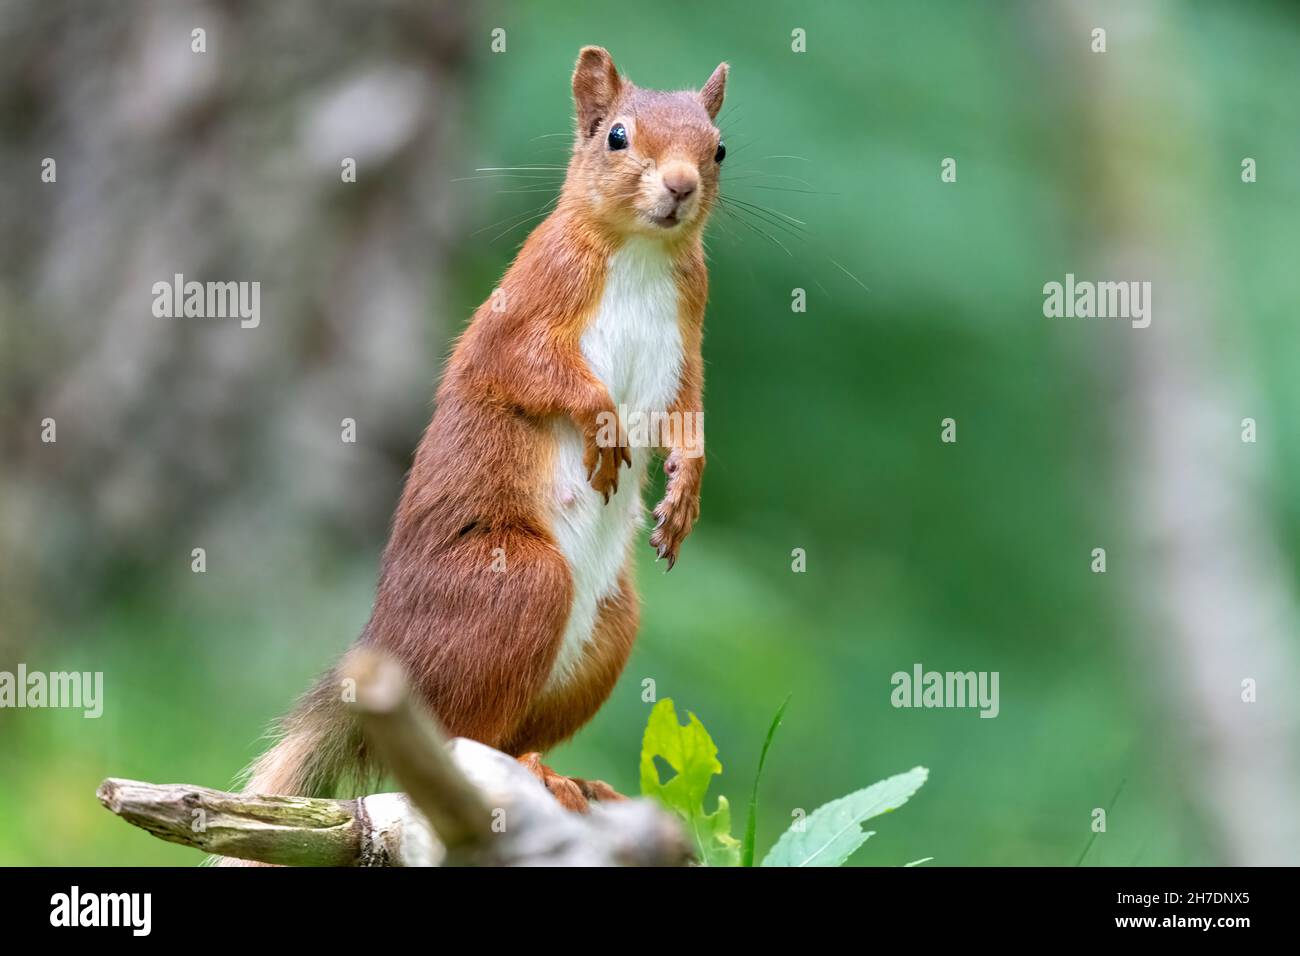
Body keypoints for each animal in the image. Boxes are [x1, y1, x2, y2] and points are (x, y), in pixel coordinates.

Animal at [235, 47, 727, 821]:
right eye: (616, 137)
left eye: (719, 149)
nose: (681, 186)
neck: (642, 254)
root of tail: (388, 655)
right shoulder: (525, 307)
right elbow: (526, 369)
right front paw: (602, 422)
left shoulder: (689, 335)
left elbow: (688, 415)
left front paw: (685, 494)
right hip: (515, 583)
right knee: (468, 734)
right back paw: (530, 773)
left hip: (609, 627)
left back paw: (568, 776)